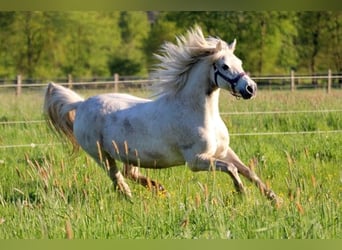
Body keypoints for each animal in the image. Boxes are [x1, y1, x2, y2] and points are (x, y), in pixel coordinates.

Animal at [43, 26, 278, 203]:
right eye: (225, 66)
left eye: (240, 62)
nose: (250, 89)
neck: (199, 114)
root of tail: (82, 104)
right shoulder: (196, 161)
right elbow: (232, 170)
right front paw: (242, 193)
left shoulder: (223, 151)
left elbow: (247, 171)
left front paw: (274, 199)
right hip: (101, 155)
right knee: (117, 178)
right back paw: (134, 198)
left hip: (128, 154)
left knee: (129, 173)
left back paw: (158, 188)